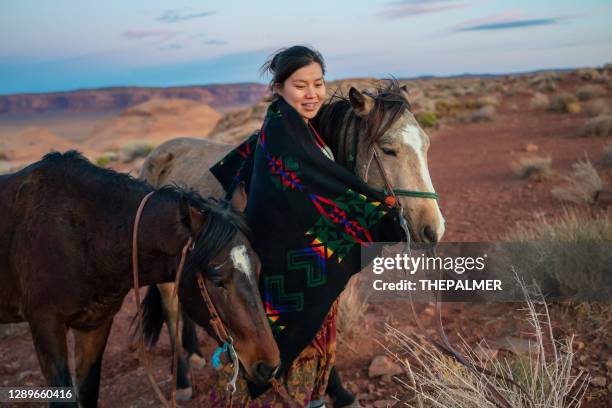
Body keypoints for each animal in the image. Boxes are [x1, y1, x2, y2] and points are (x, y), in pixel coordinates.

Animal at [0, 151, 280, 406]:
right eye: (217, 280)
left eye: (257, 270)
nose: (270, 366)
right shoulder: (46, 326)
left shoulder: (95, 325)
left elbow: (88, 392)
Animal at [137, 80, 444, 402]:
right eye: (388, 149)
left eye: (426, 145)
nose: (433, 229)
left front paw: (337, 392)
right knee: (171, 310)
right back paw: (182, 381)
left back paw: (194, 351)